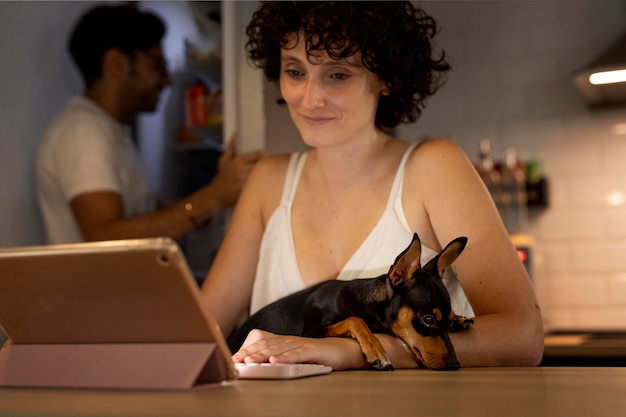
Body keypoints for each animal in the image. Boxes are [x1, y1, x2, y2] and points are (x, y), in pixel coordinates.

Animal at [227, 232, 470, 368]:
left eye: (447, 319)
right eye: (428, 320)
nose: (455, 364)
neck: (366, 303)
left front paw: (459, 319)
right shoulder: (311, 333)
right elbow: (355, 320)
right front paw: (376, 350)